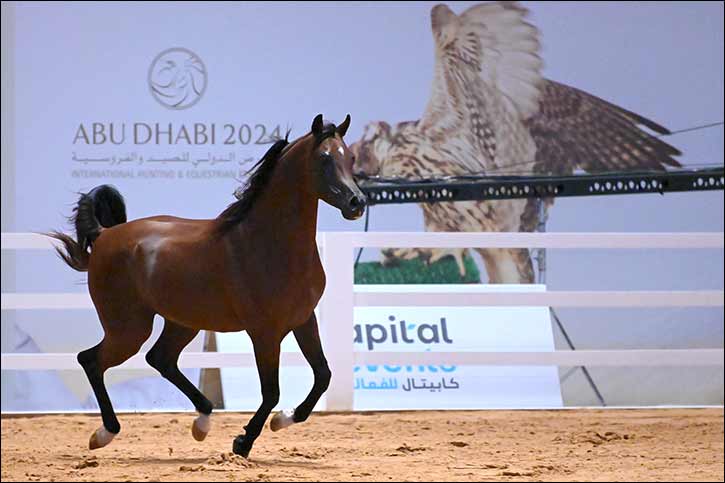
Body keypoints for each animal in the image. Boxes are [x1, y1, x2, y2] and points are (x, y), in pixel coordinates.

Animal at [47, 113, 366, 458]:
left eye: (350, 157)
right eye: (324, 158)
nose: (357, 202)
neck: (268, 243)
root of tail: (106, 234)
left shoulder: (304, 319)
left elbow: (322, 376)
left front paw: (284, 419)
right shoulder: (264, 332)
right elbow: (271, 391)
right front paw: (243, 442)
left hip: (182, 322)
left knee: (159, 359)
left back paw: (202, 422)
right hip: (128, 329)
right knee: (91, 360)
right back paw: (105, 433)